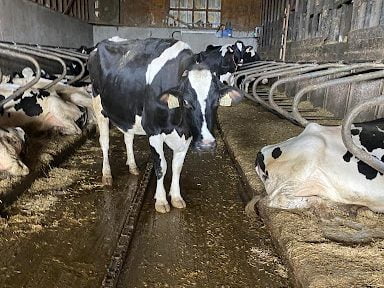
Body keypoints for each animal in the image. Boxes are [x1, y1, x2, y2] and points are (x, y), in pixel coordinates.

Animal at [88, 36, 242, 213]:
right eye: (186, 101)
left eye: (216, 101)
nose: (206, 145)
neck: (178, 124)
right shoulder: (153, 130)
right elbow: (161, 166)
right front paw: (161, 201)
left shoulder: (187, 135)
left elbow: (177, 167)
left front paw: (176, 197)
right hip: (98, 105)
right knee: (105, 142)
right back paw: (107, 174)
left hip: (127, 111)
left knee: (128, 138)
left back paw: (133, 166)